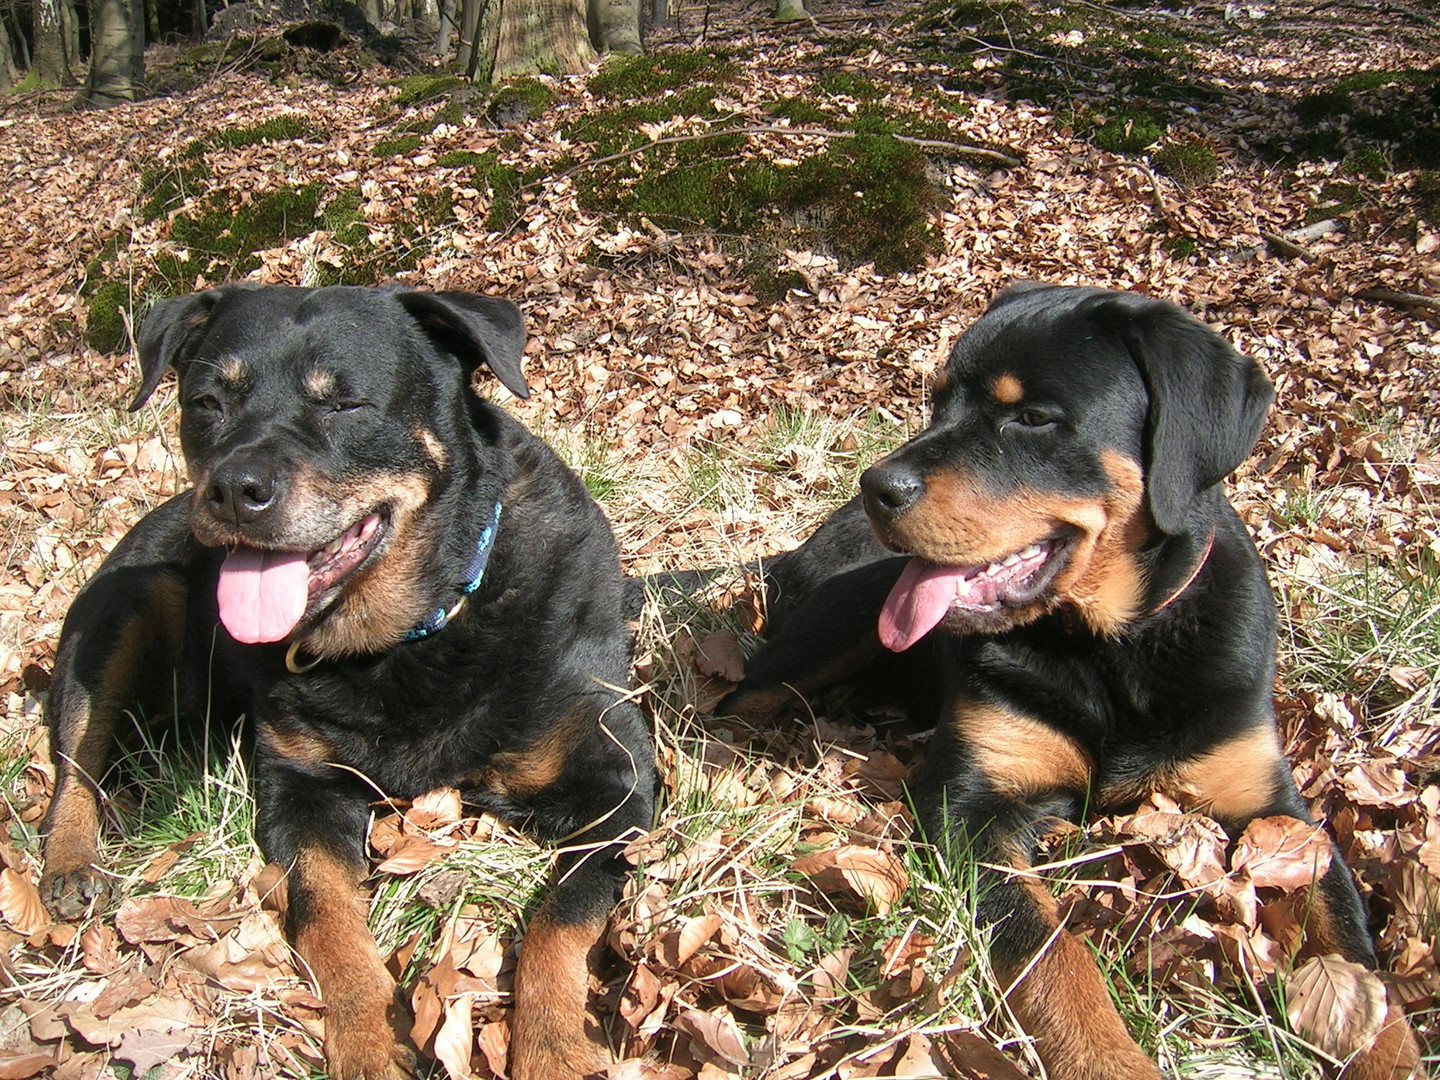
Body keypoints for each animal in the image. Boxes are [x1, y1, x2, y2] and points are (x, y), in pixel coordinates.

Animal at [37, 285, 659, 1080]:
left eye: (343, 404)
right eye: (206, 402)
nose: (233, 487)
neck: (408, 632)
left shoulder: (616, 783)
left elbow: (560, 917)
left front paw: (551, 1049)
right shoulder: (299, 787)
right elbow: (323, 913)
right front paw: (365, 1037)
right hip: (121, 604)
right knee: (76, 756)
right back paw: (71, 860)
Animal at [725, 283, 1422, 1077]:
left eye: (1031, 418)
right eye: (937, 403)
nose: (876, 486)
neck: (1107, 646)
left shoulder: (1278, 812)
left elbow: (1363, 969)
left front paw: (1389, 1048)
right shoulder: (970, 806)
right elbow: (1051, 953)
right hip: (832, 628)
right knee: (740, 697)